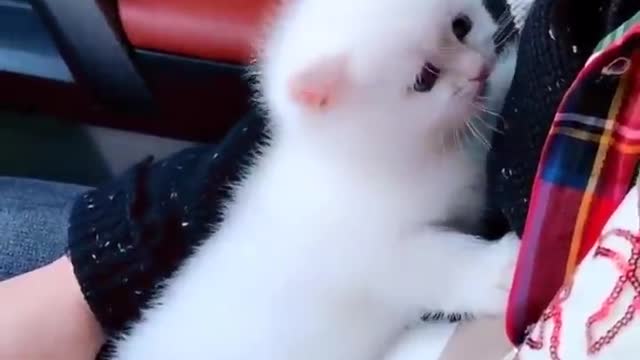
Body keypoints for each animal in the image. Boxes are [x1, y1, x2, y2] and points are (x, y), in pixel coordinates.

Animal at [110, 0, 520, 358]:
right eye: (424, 79)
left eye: (461, 26)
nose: (478, 70)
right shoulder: (367, 251)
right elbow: (432, 263)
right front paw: (498, 272)